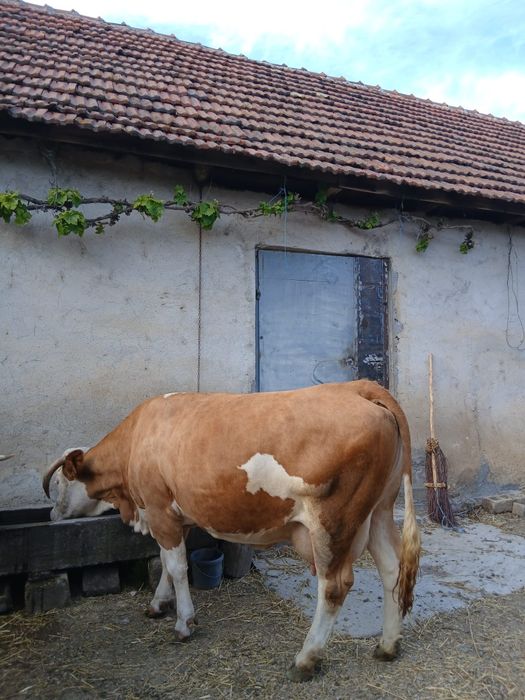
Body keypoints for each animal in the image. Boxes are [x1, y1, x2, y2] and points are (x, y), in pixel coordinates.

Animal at [43, 380, 421, 682]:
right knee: (392, 568)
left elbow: (177, 567)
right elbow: (165, 563)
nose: (50, 514)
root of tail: (358, 386)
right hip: (378, 511)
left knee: (334, 586)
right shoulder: (171, 518)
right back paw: (387, 646)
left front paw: (183, 623)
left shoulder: (159, 509)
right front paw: (157, 604)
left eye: (61, 481)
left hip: (334, 521)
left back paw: (306, 660)